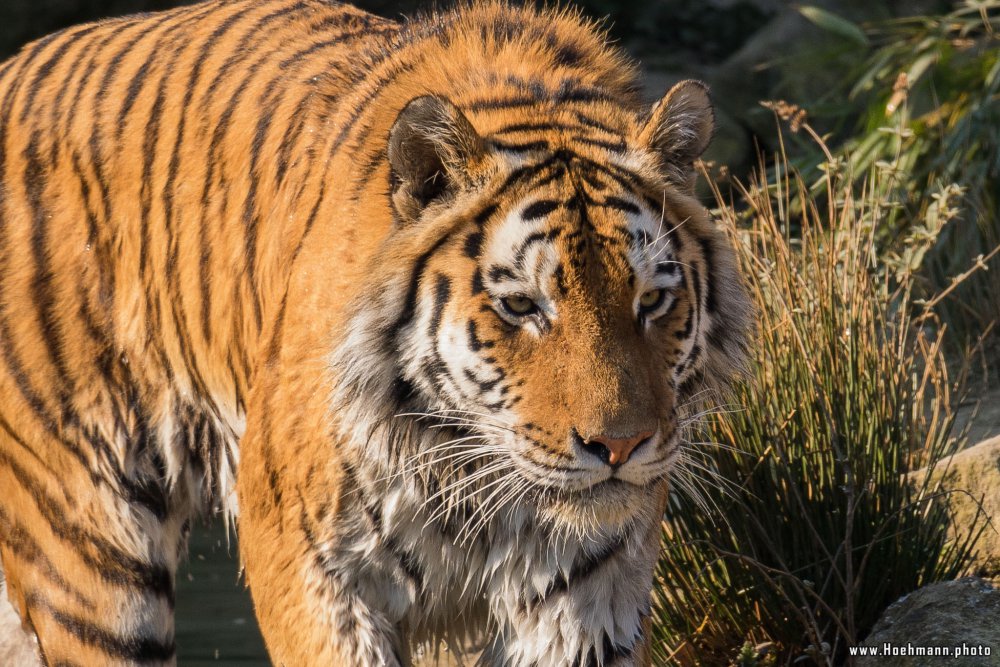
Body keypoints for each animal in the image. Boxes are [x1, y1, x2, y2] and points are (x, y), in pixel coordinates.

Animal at [0, 0, 752, 664]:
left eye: (652, 300)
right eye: (522, 306)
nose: (620, 447)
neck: (466, 471)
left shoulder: (586, 593)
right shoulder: (312, 567)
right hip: (93, 555)